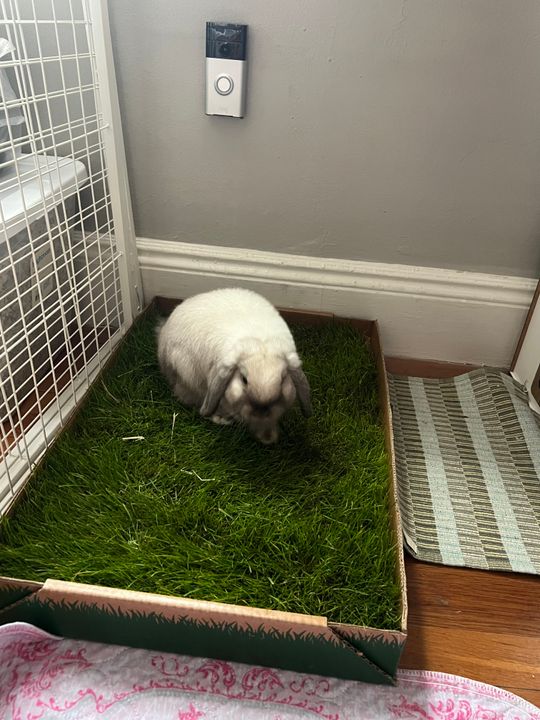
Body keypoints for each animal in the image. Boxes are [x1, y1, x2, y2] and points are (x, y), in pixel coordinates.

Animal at [157, 288, 311, 444]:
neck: (260, 345)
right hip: (189, 379)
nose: (261, 411)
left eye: (283, 379)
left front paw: (269, 437)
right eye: (244, 379)